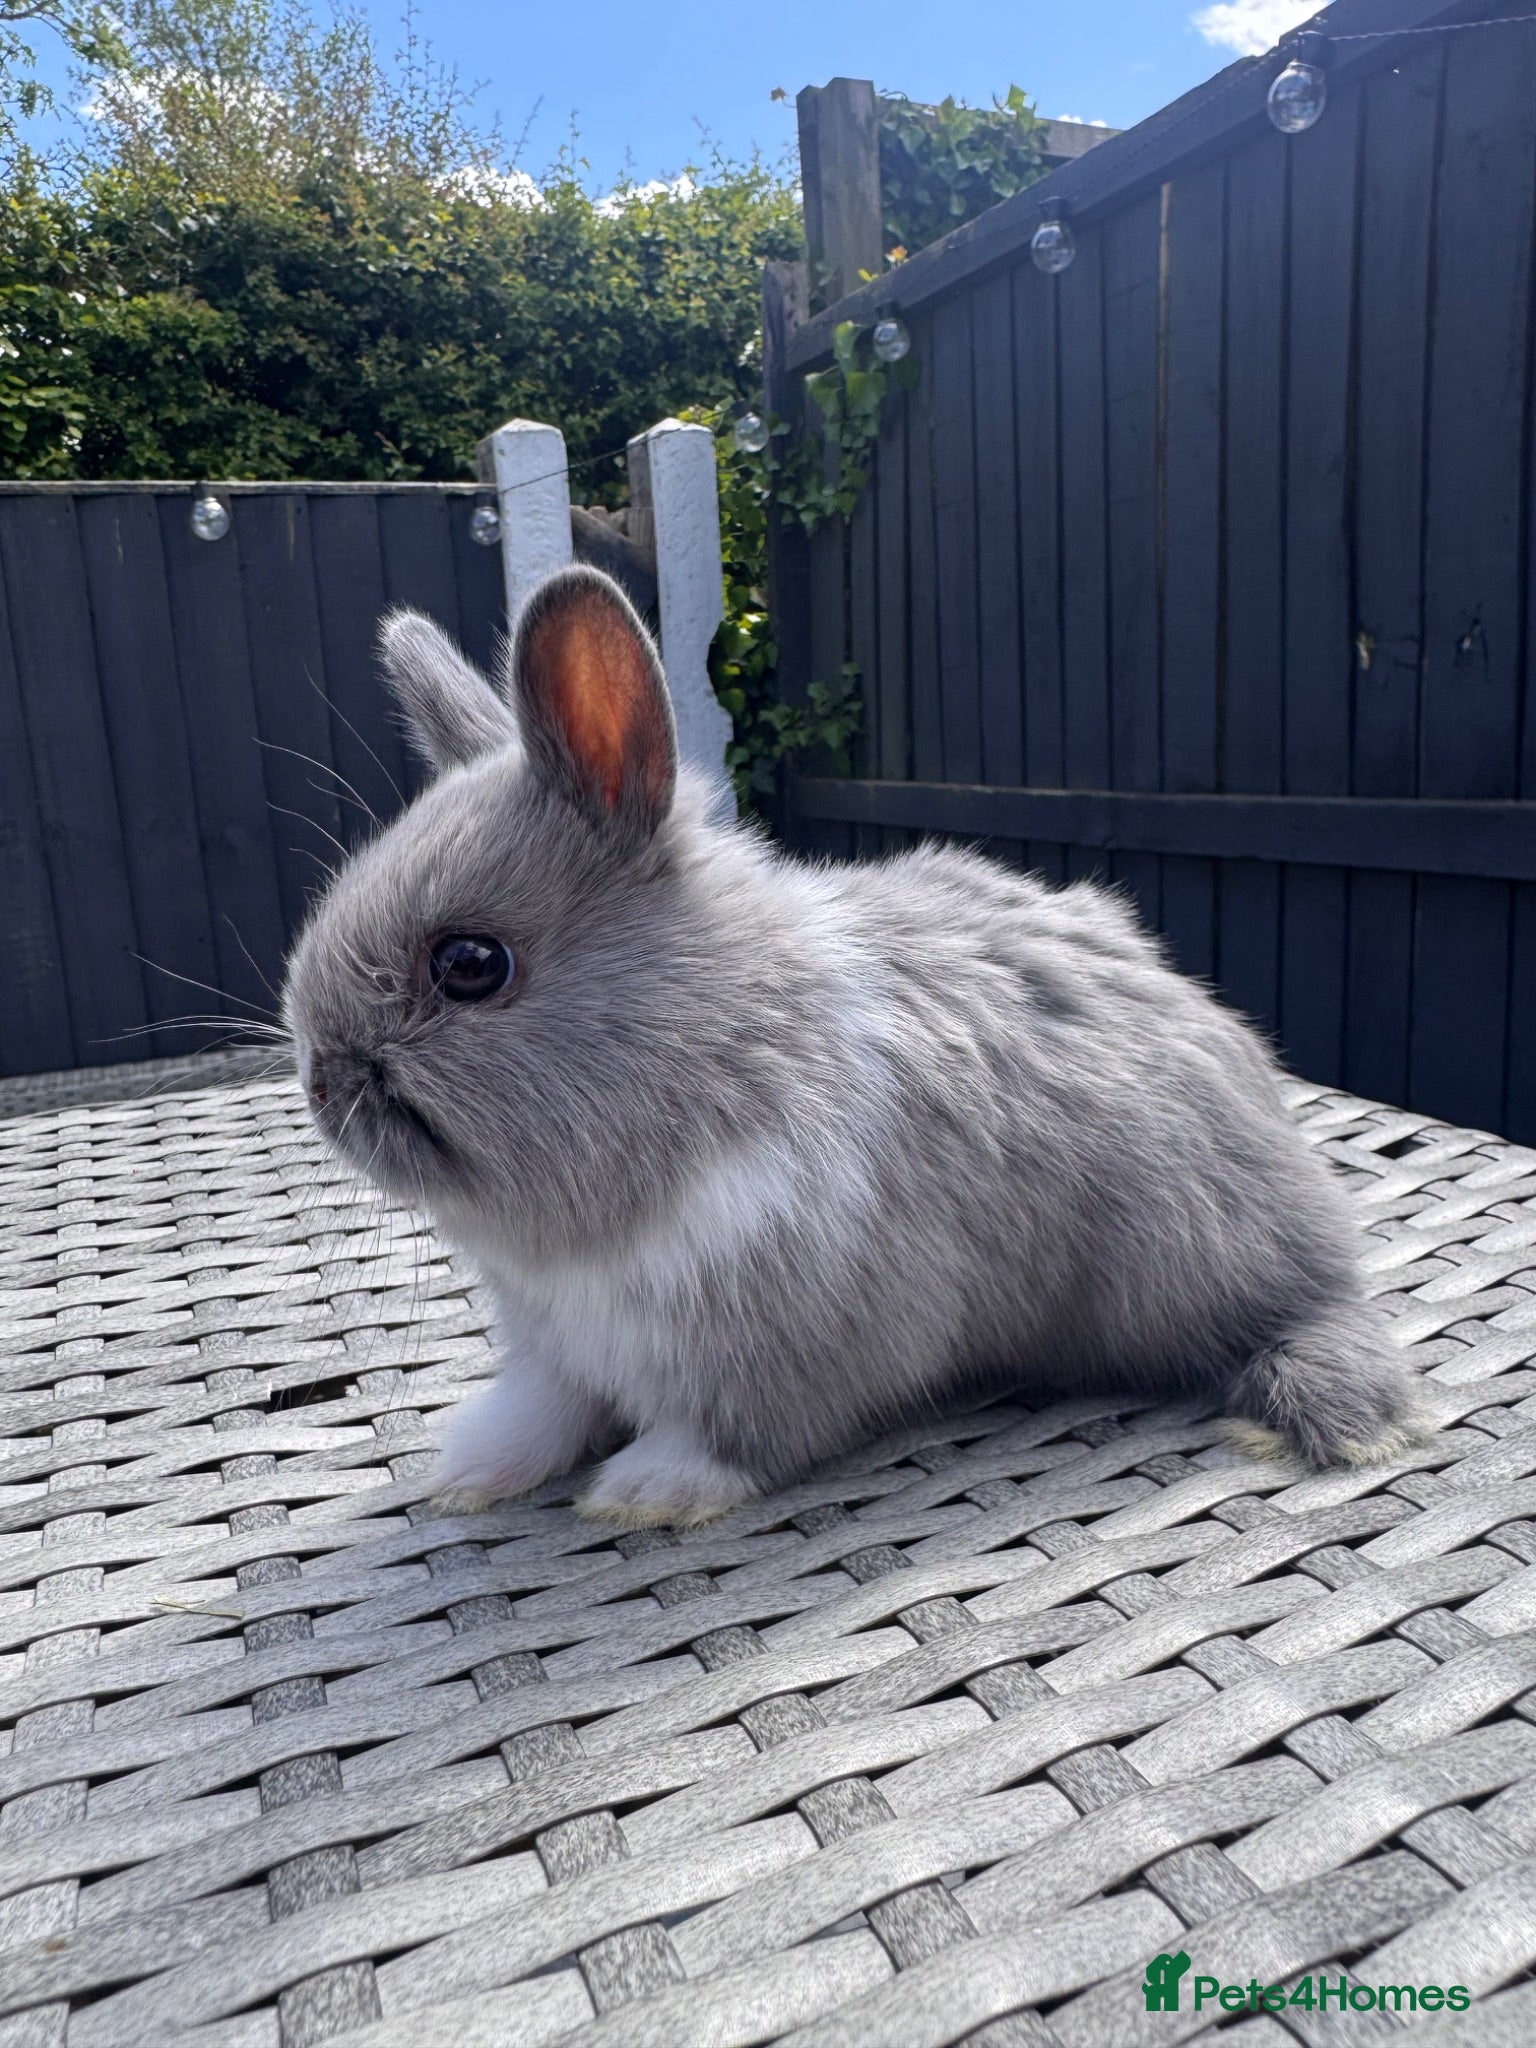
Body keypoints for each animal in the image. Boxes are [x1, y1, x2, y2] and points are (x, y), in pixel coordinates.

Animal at [280, 563, 1417, 1526]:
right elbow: (547, 1407)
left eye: (471, 963)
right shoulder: (556, 1342)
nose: (323, 1084)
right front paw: (474, 1468)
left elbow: (741, 1432)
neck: (718, 1054)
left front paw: (645, 1490)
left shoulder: (795, 1342)